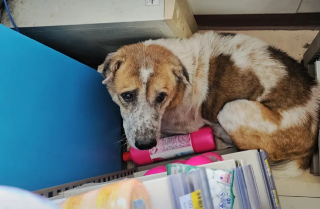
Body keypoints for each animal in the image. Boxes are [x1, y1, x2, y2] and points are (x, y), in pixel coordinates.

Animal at [98, 31, 320, 178]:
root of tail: (310, 145)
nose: (146, 145)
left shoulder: (185, 124)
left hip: (231, 109)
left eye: (161, 97)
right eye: (127, 96)